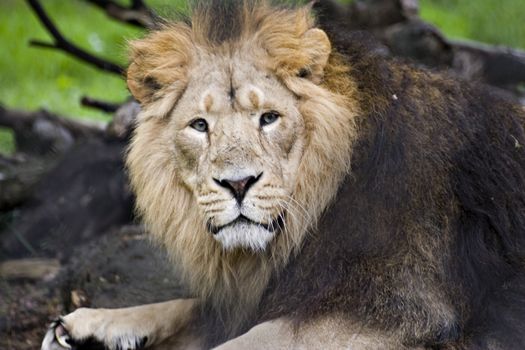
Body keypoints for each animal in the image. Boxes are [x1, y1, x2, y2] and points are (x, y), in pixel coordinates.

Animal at [42, 0, 524, 350]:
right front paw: (92, 325)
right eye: (199, 125)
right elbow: (188, 308)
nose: (237, 184)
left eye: (269, 118)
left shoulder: (398, 310)